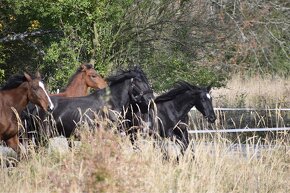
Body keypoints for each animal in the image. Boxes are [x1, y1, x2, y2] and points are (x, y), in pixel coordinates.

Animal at [23, 67, 154, 142]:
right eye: (138, 81)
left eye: (146, 80)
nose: (150, 98)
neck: (110, 103)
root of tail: (34, 108)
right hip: (41, 137)